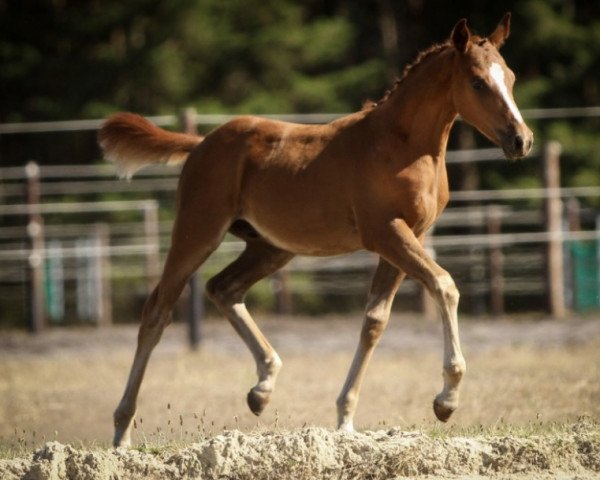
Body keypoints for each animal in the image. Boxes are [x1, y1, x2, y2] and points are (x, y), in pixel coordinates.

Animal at [99, 14, 536, 446]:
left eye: (512, 77)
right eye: (478, 82)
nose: (521, 140)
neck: (401, 145)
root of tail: (201, 143)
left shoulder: (411, 236)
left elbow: (375, 320)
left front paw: (345, 418)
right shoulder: (386, 233)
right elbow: (444, 285)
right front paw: (447, 399)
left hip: (271, 247)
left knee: (223, 288)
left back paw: (262, 388)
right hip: (198, 231)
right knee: (157, 312)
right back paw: (121, 431)